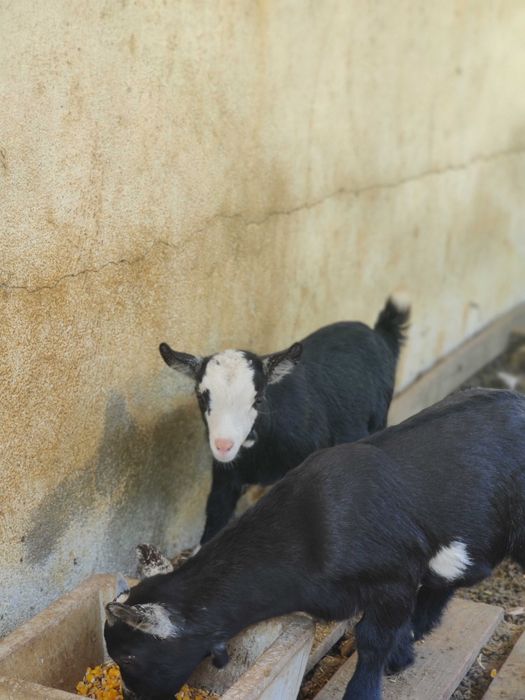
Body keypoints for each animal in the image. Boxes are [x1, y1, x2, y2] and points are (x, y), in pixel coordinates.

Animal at [104, 388, 525, 700]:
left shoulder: (393, 579)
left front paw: (364, 690)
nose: (130, 695)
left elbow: (372, 640)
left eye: (131, 655)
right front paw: (402, 654)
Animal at [159, 294, 410, 543]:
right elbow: (215, 518)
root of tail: (378, 332)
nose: (223, 445)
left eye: (258, 399)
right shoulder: (226, 477)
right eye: (201, 397)